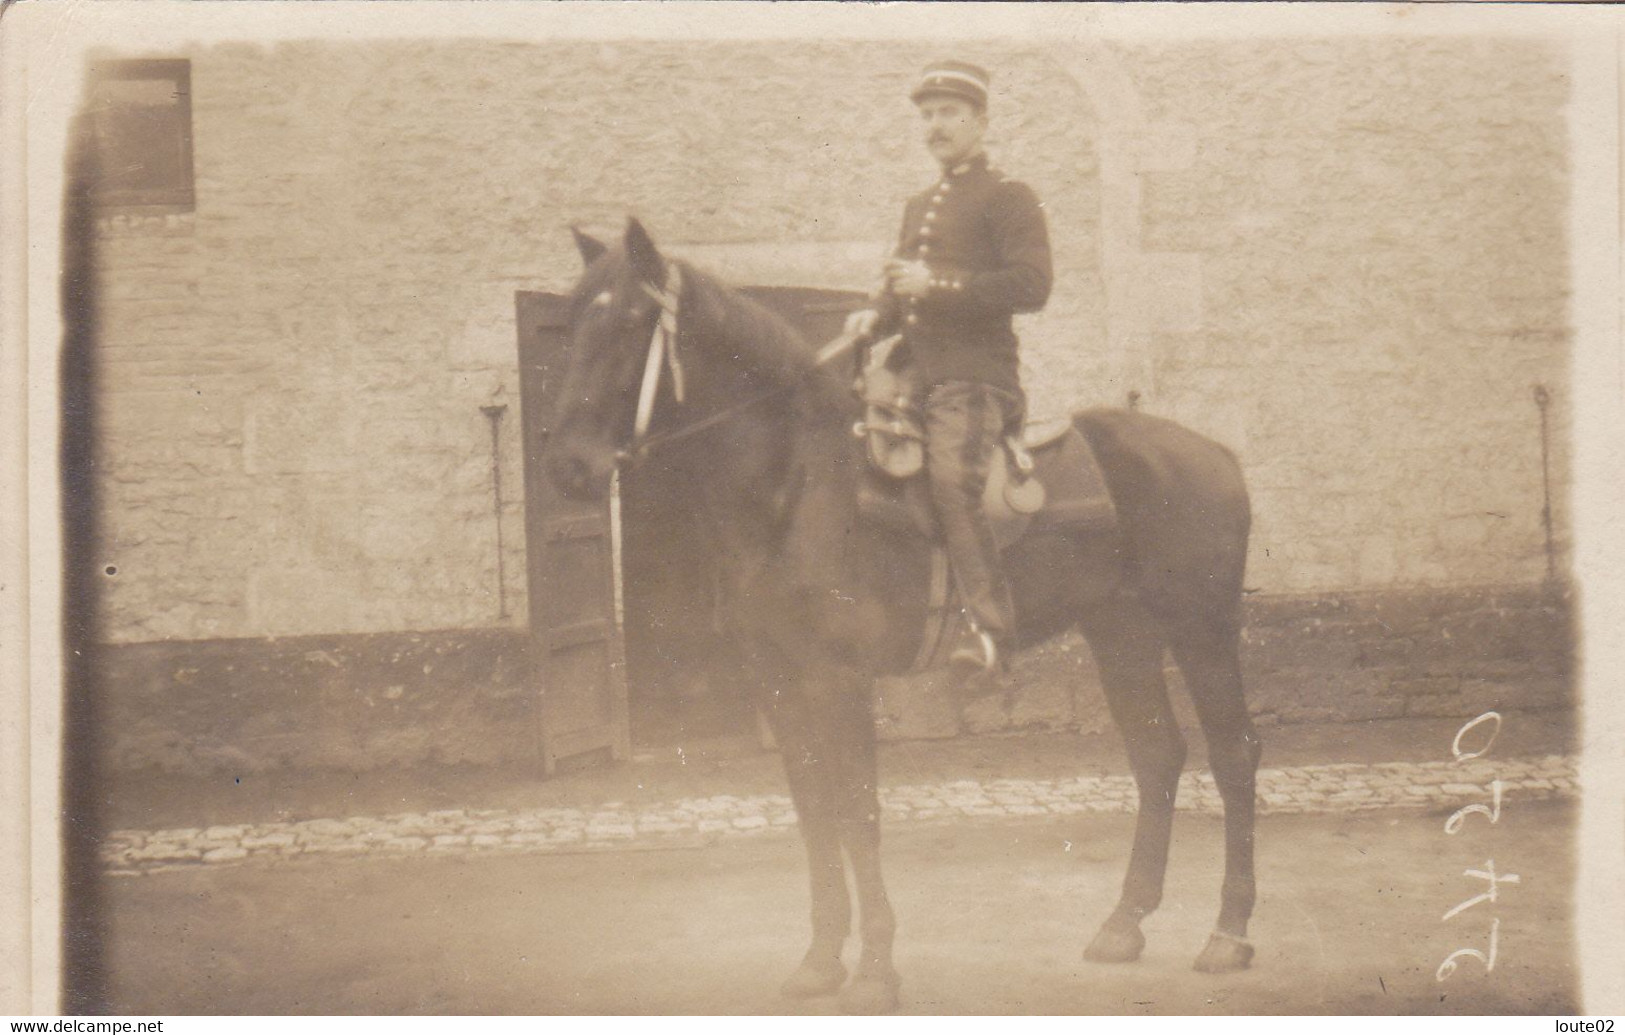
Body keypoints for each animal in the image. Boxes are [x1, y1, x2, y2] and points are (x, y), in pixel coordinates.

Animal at [546, 219, 1254, 1007]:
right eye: (569, 322)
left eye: (632, 321)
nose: (569, 465)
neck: (795, 484)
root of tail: (1215, 453)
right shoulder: (778, 678)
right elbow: (814, 812)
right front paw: (821, 958)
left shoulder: (839, 679)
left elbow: (858, 812)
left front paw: (876, 969)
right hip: (1120, 633)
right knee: (1158, 755)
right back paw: (1124, 922)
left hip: (1201, 628)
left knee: (1233, 755)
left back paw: (1227, 932)